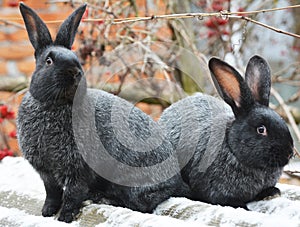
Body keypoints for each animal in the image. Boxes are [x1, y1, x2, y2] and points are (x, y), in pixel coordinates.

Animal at [16, 3, 189, 223]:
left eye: (77, 59)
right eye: (48, 61)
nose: (75, 72)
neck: (56, 105)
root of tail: (177, 180)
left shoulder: (78, 169)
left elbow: (72, 194)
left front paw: (64, 217)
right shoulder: (47, 173)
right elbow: (52, 193)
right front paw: (47, 212)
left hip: (132, 180)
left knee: (141, 204)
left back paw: (103, 198)